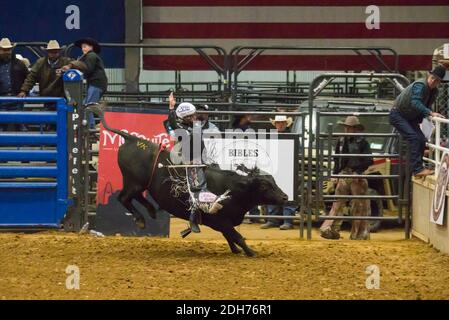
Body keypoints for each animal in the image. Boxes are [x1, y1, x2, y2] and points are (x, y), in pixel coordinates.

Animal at [91, 106, 288, 256]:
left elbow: (229, 237)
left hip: (140, 184)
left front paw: (237, 251)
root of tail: (132, 138)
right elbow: (236, 236)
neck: (233, 189)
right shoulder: (221, 219)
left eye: (274, 181)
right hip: (133, 182)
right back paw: (140, 219)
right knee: (124, 198)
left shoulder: (222, 223)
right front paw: (251, 252)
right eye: (265, 186)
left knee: (136, 197)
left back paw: (151, 211)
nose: (285, 197)